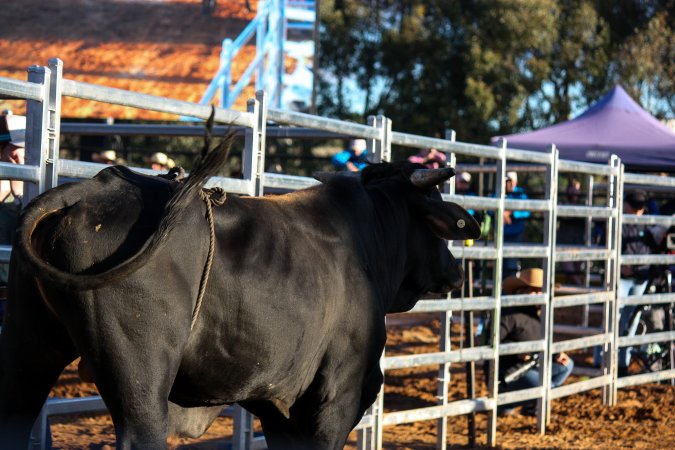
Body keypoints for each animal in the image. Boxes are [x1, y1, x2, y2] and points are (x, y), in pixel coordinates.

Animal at [0, 143, 480, 449]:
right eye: (436, 218)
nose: (456, 270)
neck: (369, 241)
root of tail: (90, 188)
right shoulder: (336, 397)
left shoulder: (277, 406)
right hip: (139, 379)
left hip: (29, 350)